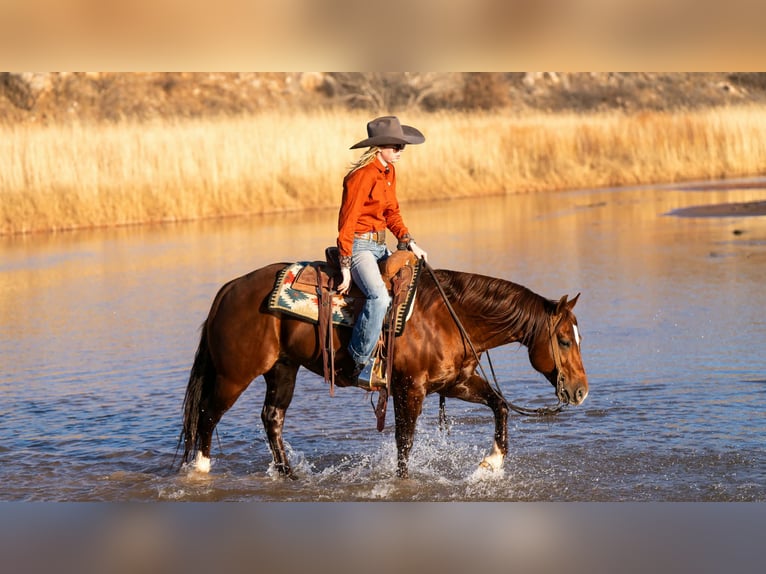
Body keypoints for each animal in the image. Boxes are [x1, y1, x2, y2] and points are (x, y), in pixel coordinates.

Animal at [180, 262, 588, 478]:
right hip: (235, 375)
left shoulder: (455, 382)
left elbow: (500, 405)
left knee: (272, 418)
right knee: (208, 413)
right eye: (564, 340)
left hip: (283, 369)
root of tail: (230, 289)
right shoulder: (410, 390)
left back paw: (289, 475)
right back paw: (200, 468)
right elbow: (404, 444)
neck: (449, 317)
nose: (581, 390)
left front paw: (492, 462)